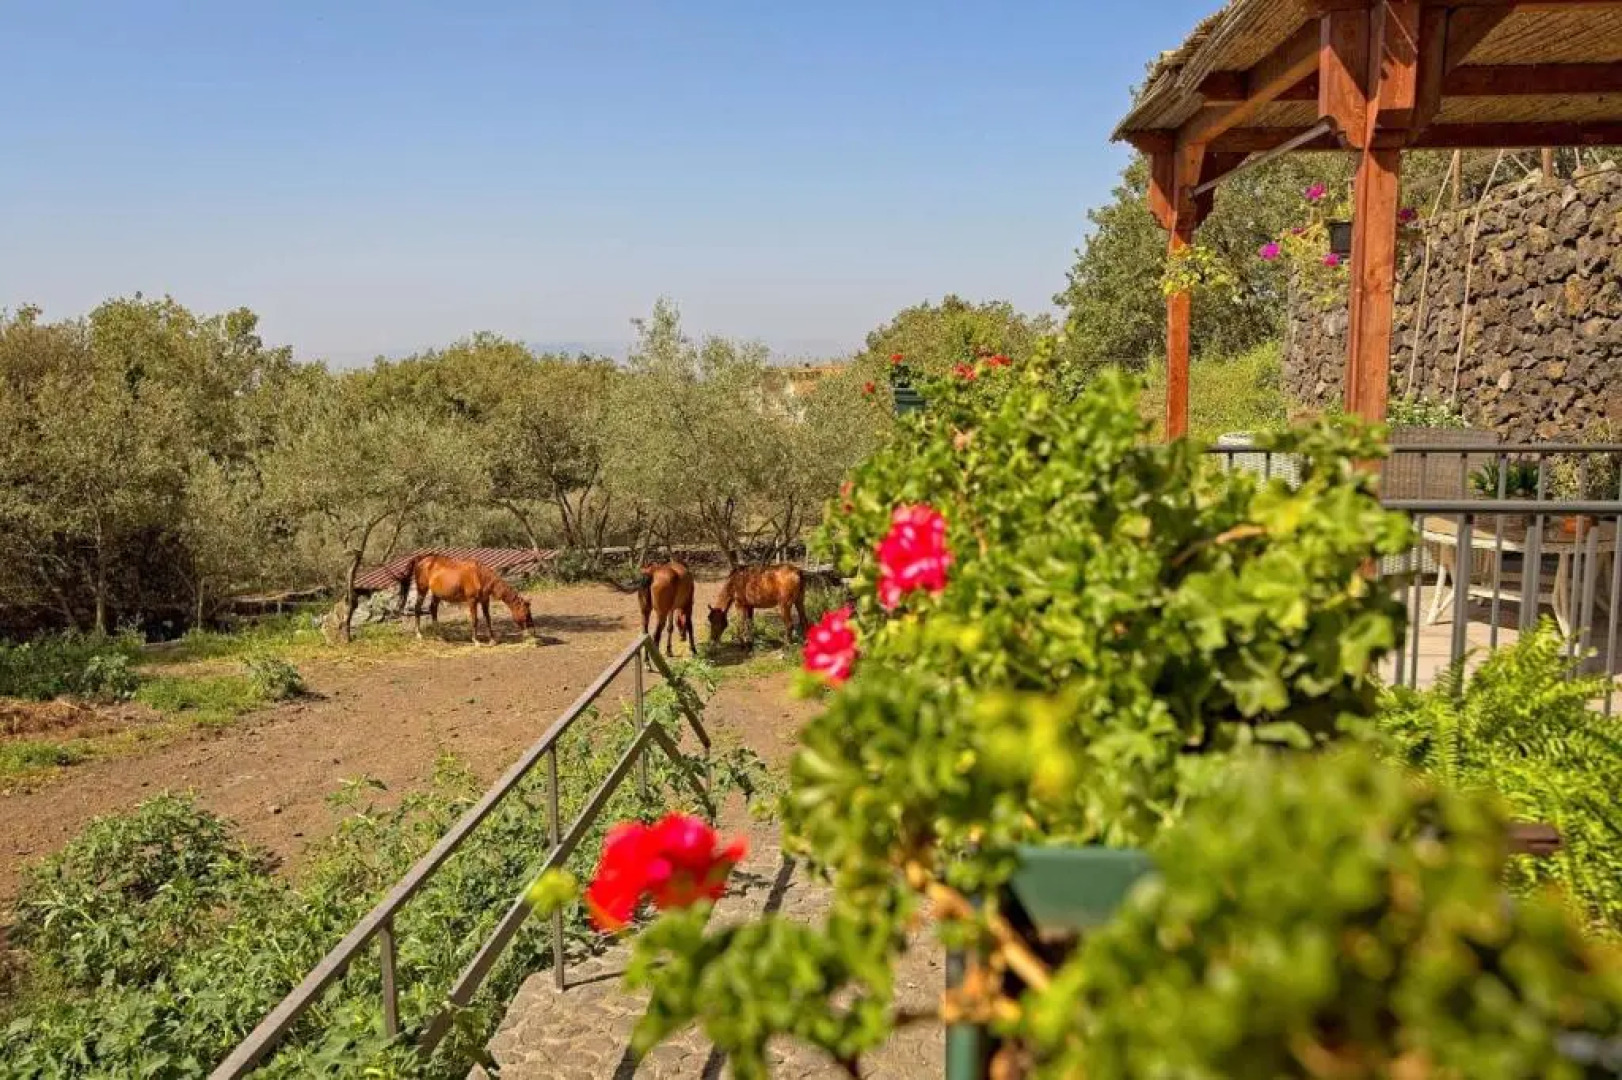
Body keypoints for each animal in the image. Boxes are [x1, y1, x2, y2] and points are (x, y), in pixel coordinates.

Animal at [397, 554, 534, 646]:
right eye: (526, 614)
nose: (532, 630)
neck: (480, 576)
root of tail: (422, 559)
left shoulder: (485, 600)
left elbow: (488, 619)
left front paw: (492, 640)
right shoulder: (472, 601)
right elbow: (475, 620)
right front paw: (476, 641)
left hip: (437, 594)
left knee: (433, 609)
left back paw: (440, 636)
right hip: (422, 589)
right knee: (417, 608)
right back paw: (419, 634)